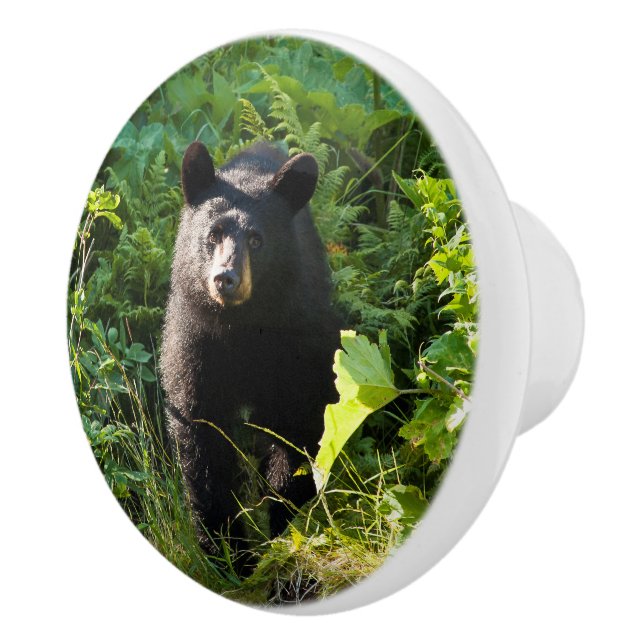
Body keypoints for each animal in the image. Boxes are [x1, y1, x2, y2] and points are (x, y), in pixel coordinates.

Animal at [160, 141, 341, 569]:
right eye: (213, 234)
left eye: (257, 240)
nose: (225, 278)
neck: (241, 326)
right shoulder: (195, 343)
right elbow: (201, 434)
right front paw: (227, 552)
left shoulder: (297, 341)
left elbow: (297, 425)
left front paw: (282, 528)